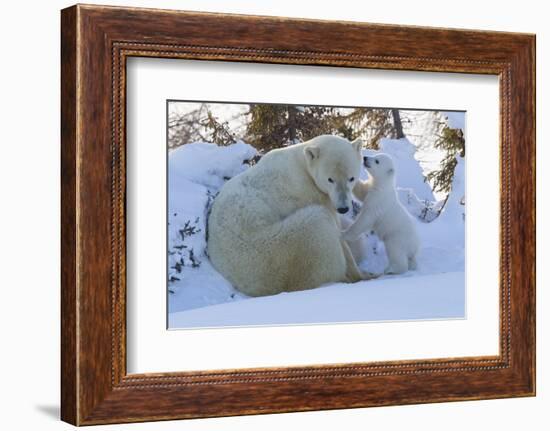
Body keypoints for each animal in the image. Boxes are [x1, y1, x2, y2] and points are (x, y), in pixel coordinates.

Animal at [209, 135, 374, 296]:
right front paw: (360, 273)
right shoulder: (309, 193)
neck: (302, 164)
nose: (343, 208)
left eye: (351, 178)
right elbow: (338, 232)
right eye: (330, 179)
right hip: (280, 247)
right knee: (319, 224)